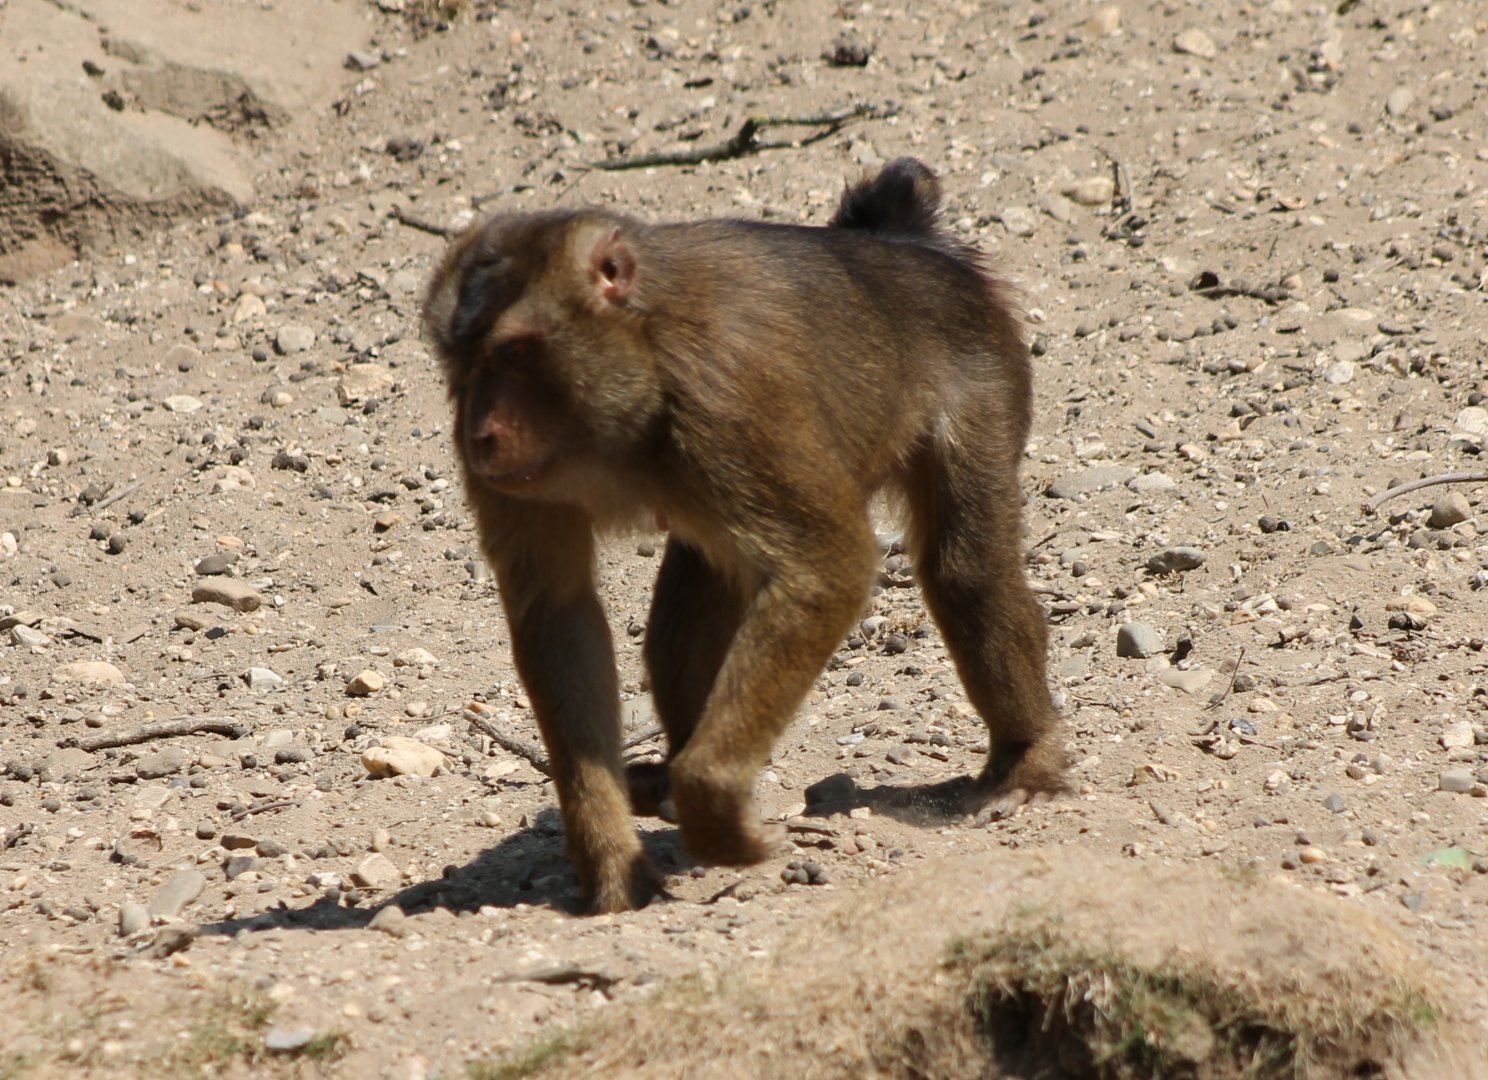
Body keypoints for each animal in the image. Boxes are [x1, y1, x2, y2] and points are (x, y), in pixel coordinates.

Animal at [422, 158, 1066, 914]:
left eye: (516, 352)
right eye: (462, 365)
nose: (481, 435)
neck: (645, 355)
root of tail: (903, 248)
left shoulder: (726, 394)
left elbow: (830, 567)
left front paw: (716, 806)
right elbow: (559, 613)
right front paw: (611, 862)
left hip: (983, 371)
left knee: (966, 570)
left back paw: (1026, 758)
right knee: (694, 600)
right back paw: (666, 777)